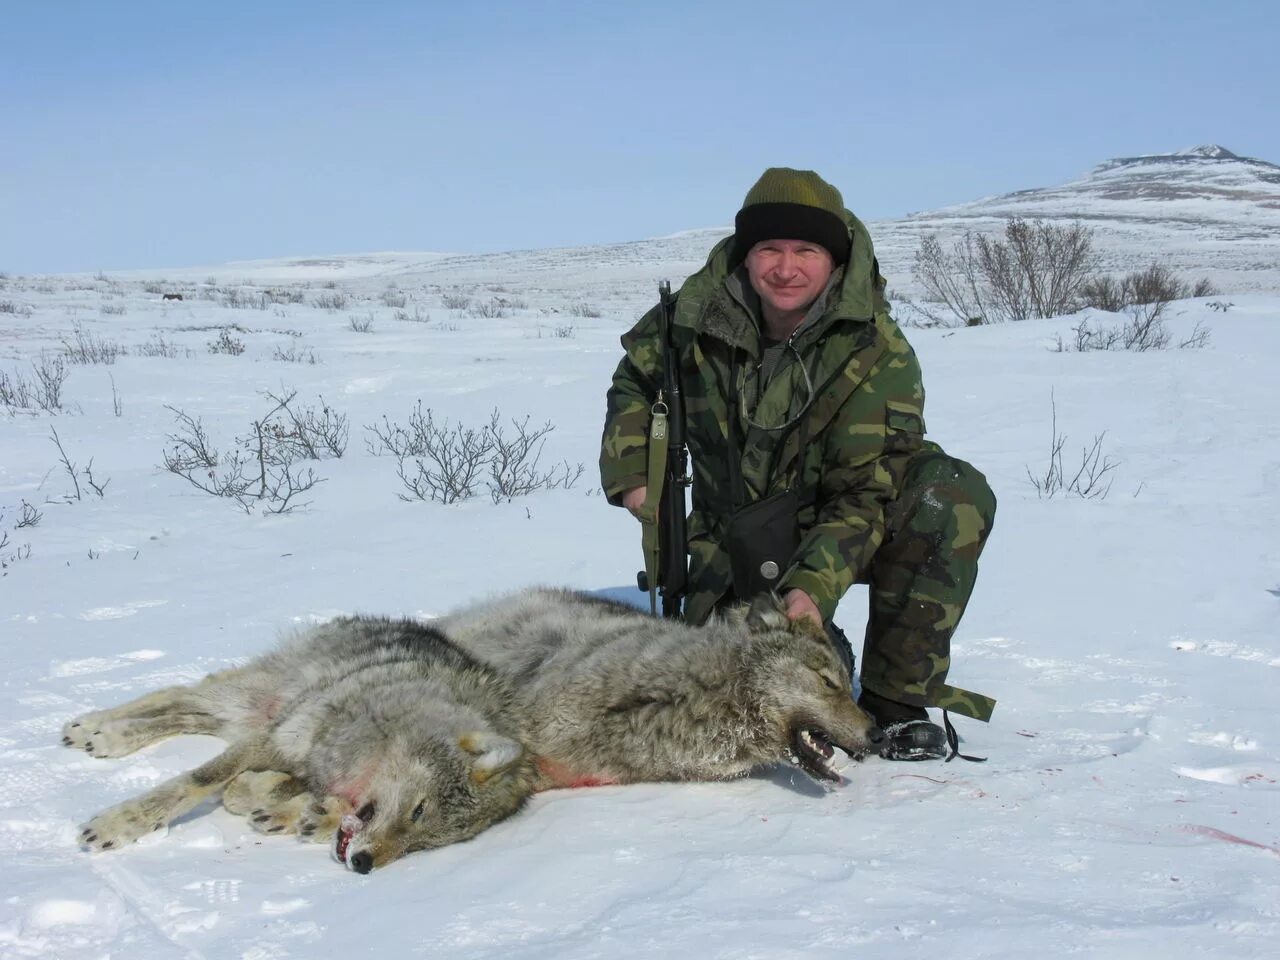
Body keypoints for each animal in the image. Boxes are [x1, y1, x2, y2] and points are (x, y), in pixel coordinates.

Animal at [63, 619, 535, 875]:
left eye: (427, 844)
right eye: (419, 810)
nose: (364, 865)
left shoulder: (288, 758)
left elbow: (265, 790)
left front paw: (289, 809)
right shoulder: (274, 740)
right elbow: (195, 782)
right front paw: (119, 824)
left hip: (247, 714)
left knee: (187, 712)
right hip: (252, 700)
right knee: (182, 692)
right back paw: (94, 729)